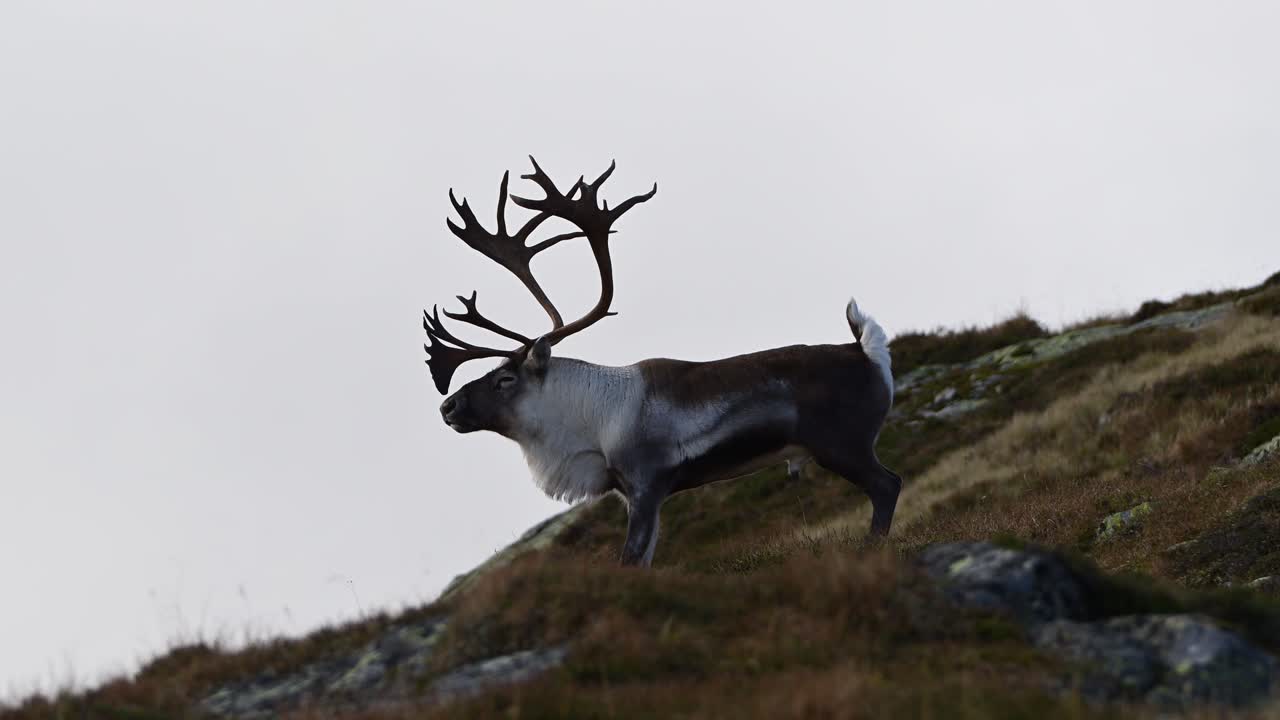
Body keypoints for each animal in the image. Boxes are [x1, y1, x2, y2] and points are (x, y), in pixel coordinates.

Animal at [425, 158, 901, 567]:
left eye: (505, 379)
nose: (448, 405)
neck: (589, 422)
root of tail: (867, 352)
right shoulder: (629, 492)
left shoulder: (647, 483)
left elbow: (630, 561)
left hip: (841, 443)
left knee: (887, 486)